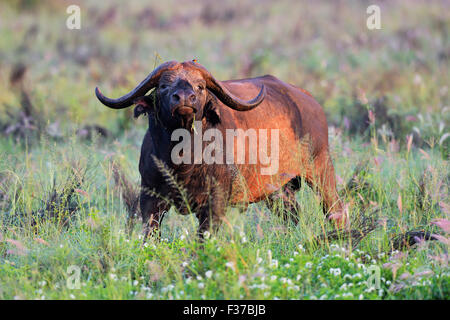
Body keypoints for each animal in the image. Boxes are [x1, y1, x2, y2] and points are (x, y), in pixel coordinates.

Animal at [96, 59, 346, 238]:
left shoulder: (214, 205)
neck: (183, 160)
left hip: (321, 170)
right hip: (278, 191)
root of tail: (309, 100)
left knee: (336, 211)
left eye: (200, 86)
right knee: (293, 216)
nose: (185, 98)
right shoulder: (149, 200)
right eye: (164, 86)